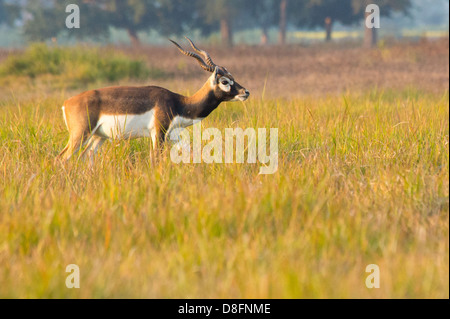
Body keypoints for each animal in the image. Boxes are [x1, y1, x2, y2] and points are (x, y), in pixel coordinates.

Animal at [57, 37, 250, 162]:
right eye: (224, 81)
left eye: (233, 77)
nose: (245, 92)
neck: (180, 103)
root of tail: (67, 103)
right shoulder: (158, 132)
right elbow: (156, 159)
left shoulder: (173, 136)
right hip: (80, 134)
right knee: (62, 158)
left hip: (99, 137)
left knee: (85, 157)